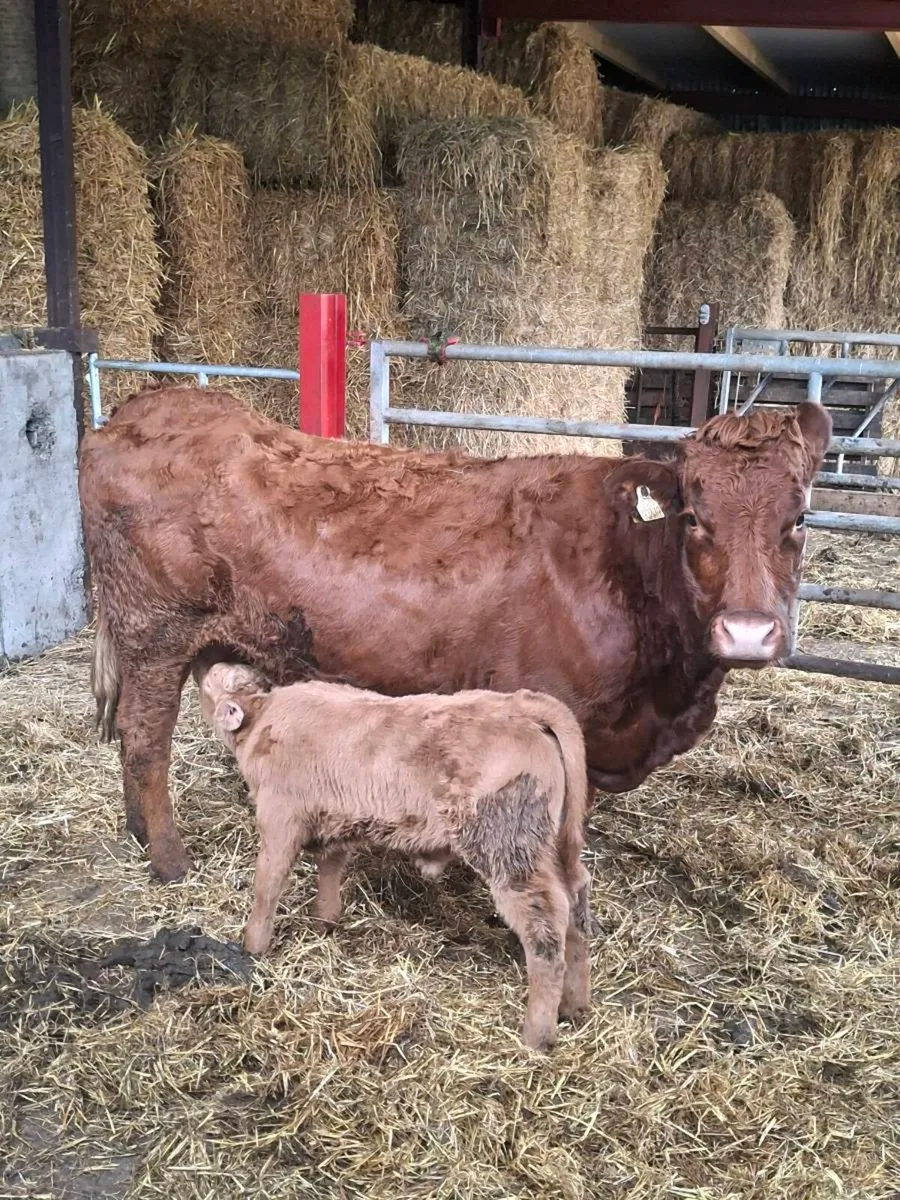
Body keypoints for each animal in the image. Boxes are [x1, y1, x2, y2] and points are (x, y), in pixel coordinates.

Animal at [78, 387, 832, 883]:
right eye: (696, 518)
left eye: (798, 518)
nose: (747, 631)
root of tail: (144, 408)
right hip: (155, 633)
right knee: (144, 740)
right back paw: (168, 859)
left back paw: (139, 833)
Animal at [195, 659, 592, 1050]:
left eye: (215, 680)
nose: (208, 666)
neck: (265, 716)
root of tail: (518, 704)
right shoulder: (333, 824)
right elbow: (329, 872)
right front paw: (326, 923)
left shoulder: (280, 819)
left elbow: (267, 885)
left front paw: (252, 947)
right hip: (551, 847)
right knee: (575, 907)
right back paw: (573, 1006)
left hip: (509, 849)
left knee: (546, 928)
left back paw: (536, 1035)